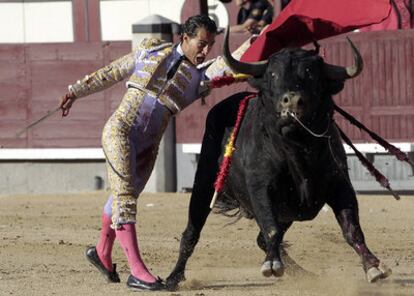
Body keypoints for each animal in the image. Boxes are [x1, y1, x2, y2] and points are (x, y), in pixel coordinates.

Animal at [166, 31, 392, 290]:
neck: (297, 149)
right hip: (204, 184)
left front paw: (373, 266)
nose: (292, 101)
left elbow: (352, 229)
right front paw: (271, 264)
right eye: (273, 74)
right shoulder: (260, 188)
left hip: (287, 212)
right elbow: (270, 228)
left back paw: (303, 273)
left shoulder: (340, 185)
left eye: (311, 75)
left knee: (261, 239)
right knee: (192, 232)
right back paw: (172, 278)